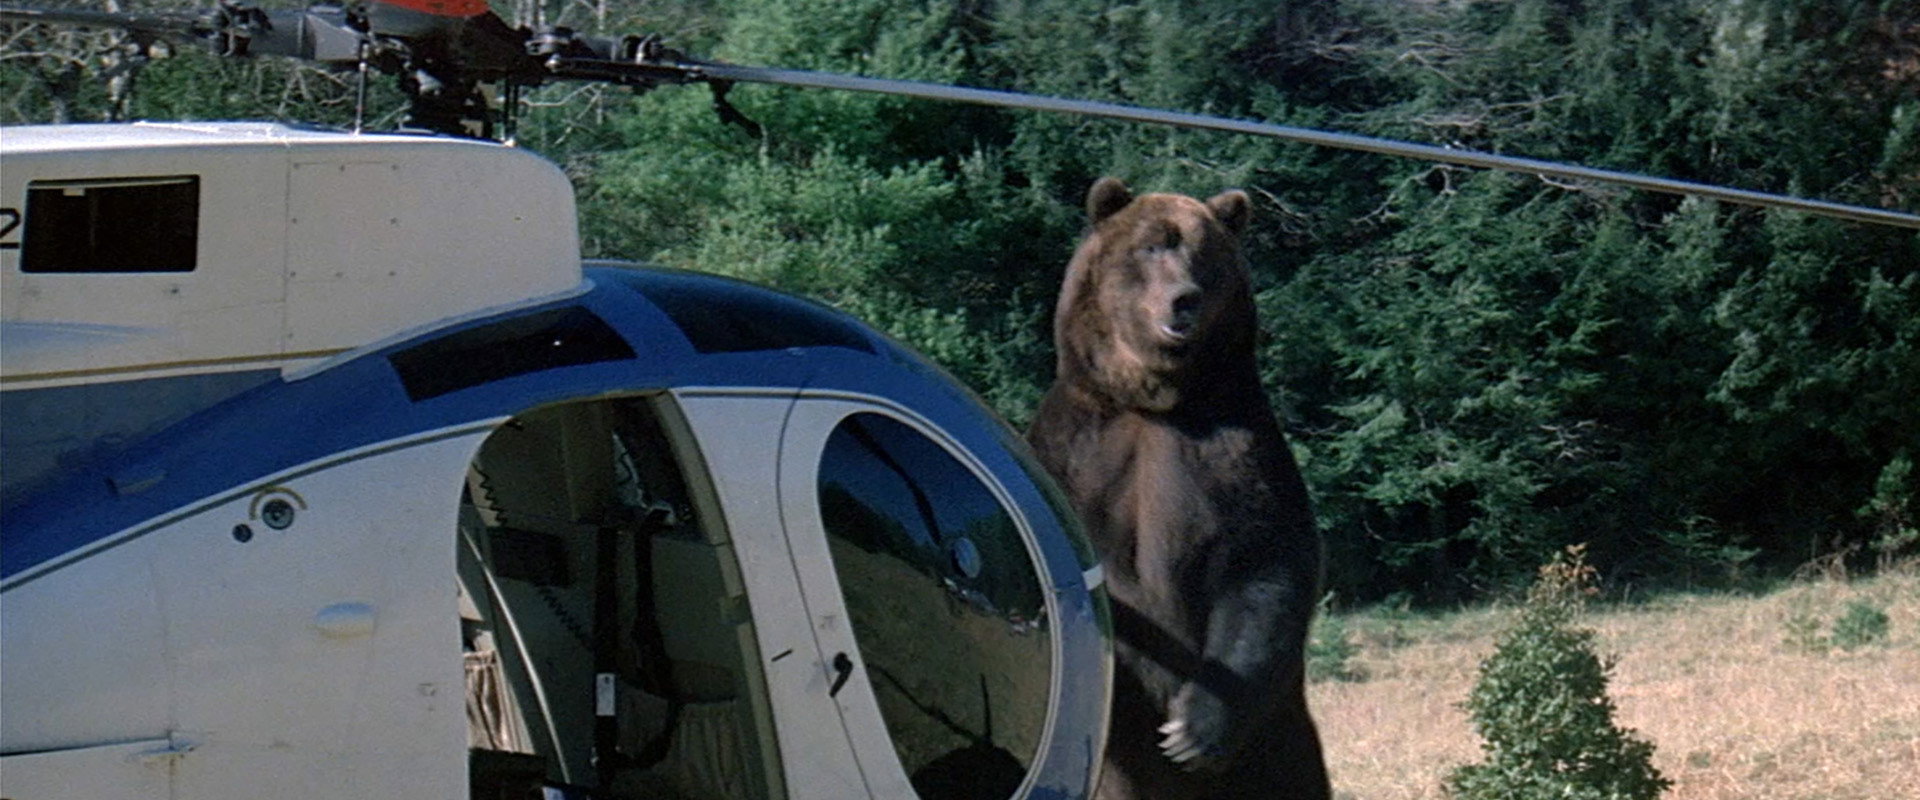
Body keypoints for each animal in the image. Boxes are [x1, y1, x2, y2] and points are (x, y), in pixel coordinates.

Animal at [1027, 177, 1329, 800]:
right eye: (1151, 246)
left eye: (1205, 254)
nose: (1183, 298)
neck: (1153, 398)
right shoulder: (1075, 453)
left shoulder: (1231, 445)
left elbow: (1266, 562)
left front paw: (1190, 731)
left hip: (1280, 740)